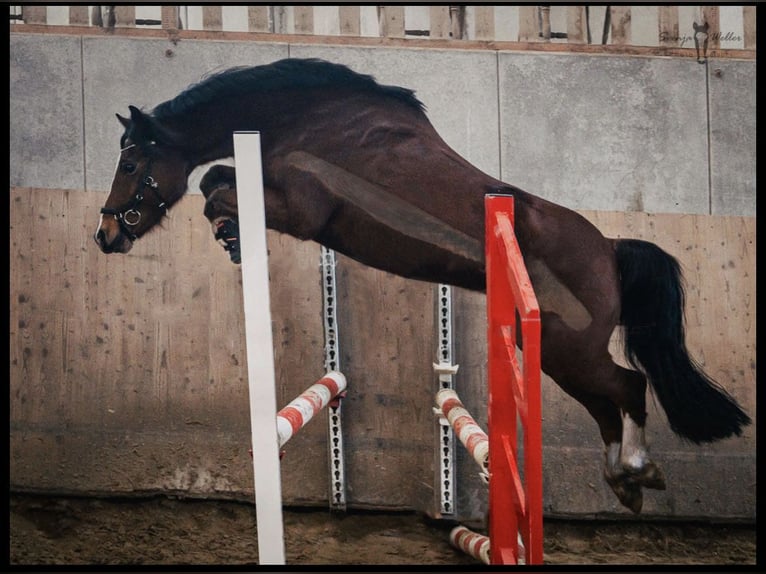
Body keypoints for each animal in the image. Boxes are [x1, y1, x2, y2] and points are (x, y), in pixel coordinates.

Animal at [94, 59, 752, 516]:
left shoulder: (302, 211)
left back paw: (638, 469)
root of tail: (611, 249)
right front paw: (231, 237)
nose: (106, 234)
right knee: (608, 403)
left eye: (130, 163)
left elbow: (216, 188)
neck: (309, 123)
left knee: (628, 387)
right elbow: (216, 182)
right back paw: (624, 481)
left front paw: (229, 231)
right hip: (556, 353)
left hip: (570, 350)